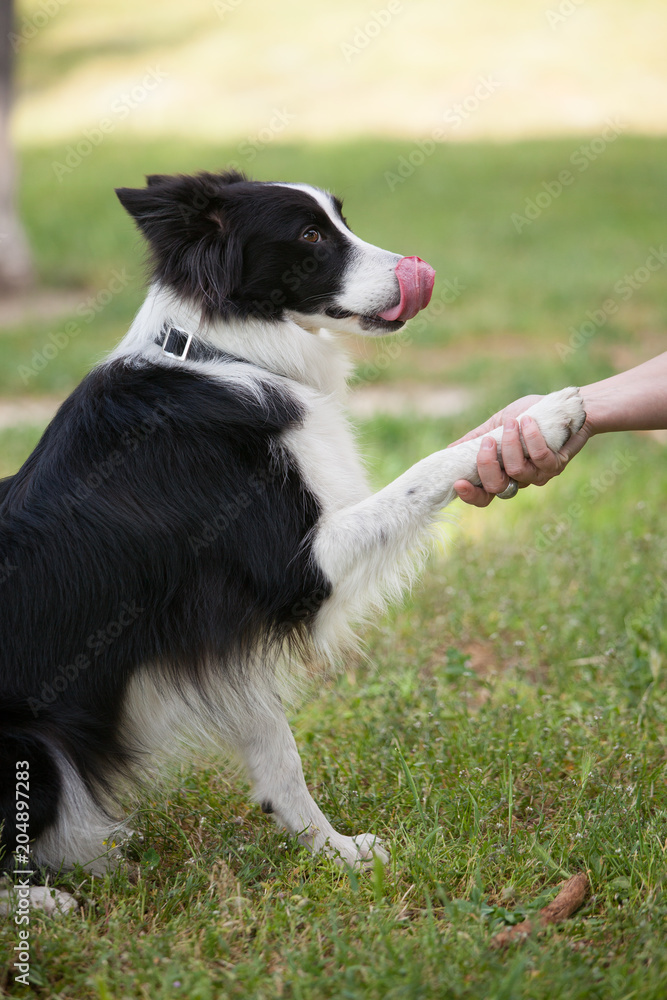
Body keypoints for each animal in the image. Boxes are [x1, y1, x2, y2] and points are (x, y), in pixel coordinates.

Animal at [0, 172, 584, 876]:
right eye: (309, 235)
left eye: (341, 219)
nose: (421, 271)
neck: (224, 352)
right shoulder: (291, 570)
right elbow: (422, 472)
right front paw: (542, 418)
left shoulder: (215, 628)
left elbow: (279, 755)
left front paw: (337, 852)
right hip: (33, 746)